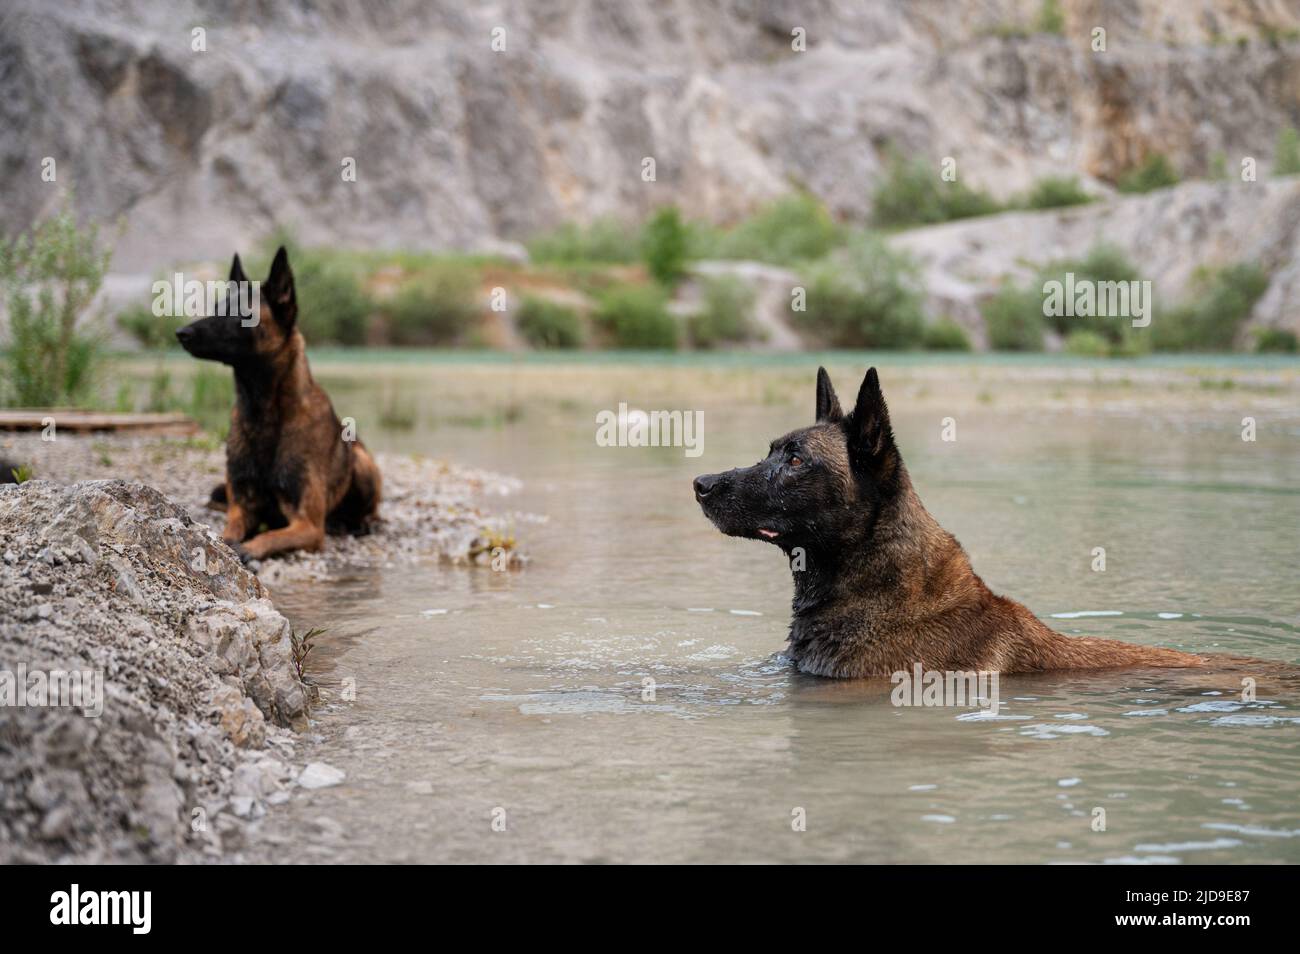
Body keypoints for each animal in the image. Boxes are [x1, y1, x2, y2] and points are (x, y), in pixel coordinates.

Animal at [172, 246, 379, 564]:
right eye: (217, 307)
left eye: (243, 314)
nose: (182, 333)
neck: (263, 412)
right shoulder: (242, 507)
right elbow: (228, 532)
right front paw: (229, 542)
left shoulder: (308, 525)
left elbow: (269, 536)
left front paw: (247, 548)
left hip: (362, 464)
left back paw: (358, 523)